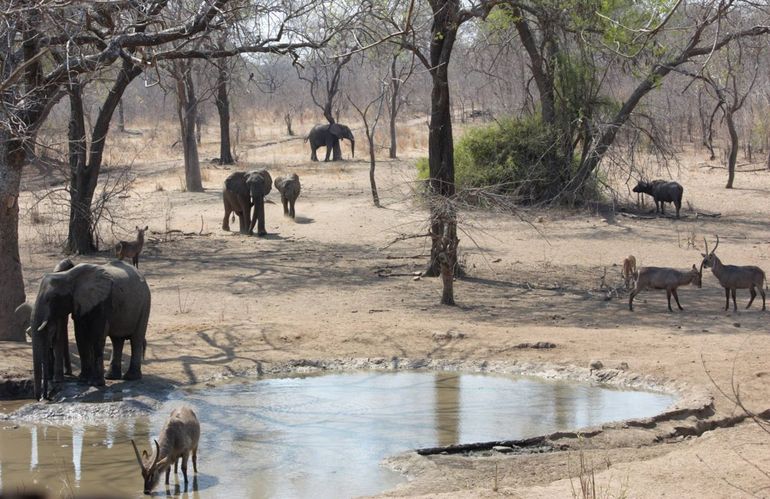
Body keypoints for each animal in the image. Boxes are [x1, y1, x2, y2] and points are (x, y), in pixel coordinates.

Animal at [19, 260, 152, 400]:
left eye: (50, 299)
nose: (44, 397)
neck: (67, 276)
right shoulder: (79, 304)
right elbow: (80, 335)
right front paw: (83, 380)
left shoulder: (103, 300)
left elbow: (97, 336)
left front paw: (96, 383)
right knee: (117, 340)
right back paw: (111, 376)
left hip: (145, 303)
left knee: (136, 339)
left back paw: (130, 378)